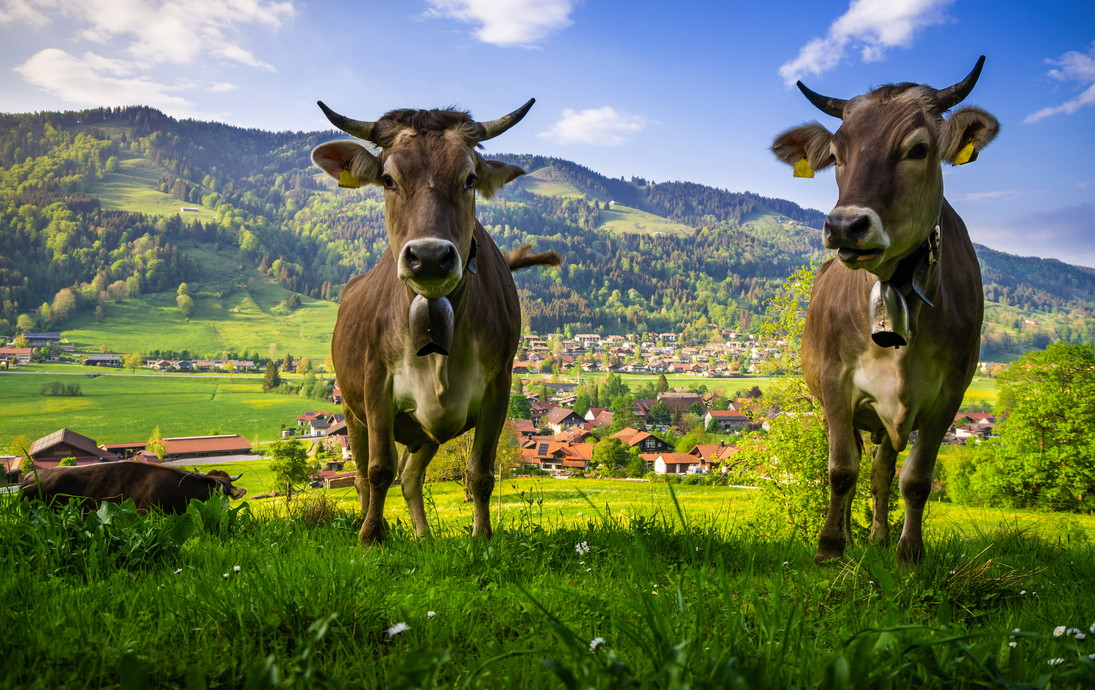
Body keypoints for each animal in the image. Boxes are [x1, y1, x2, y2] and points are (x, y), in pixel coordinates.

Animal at [310, 99, 559, 545]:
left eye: (469, 179)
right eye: (388, 179)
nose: (428, 257)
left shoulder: (499, 385)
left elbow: (480, 473)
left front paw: (483, 537)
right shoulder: (376, 383)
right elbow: (379, 470)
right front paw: (371, 538)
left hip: (423, 432)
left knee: (411, 477)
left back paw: (424, 536)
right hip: (353, 411)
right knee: (363, 476)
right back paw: (367, 522)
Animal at [770, 56, 998, 565]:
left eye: (918, 149)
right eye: (837, 156)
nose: (844, 225)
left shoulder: (949, 394)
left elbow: (914, 480)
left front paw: (908, 553)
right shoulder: (835, 382)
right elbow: (840, 470)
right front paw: (830, 547)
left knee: (881, 471)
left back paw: (877, 536)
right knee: (860, 465)